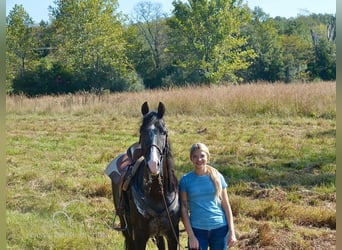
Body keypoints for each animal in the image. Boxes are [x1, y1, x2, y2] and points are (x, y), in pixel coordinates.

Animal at [113, 102, 180, 250]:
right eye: (141, 131)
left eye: (164, 131)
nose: (153, 164)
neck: (156, 194)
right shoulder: (139, 235)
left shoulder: (173, 235)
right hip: (126, 226)